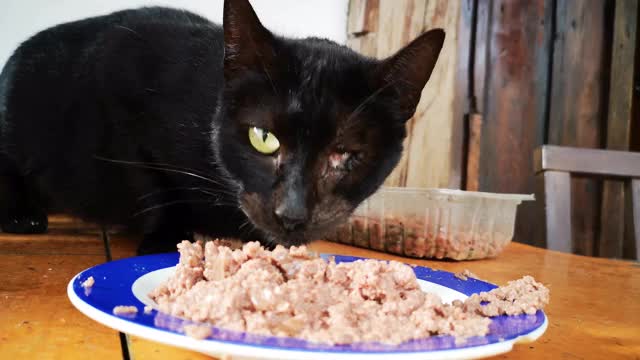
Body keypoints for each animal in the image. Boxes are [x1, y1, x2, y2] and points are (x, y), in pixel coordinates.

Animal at [0, 0, 444, 255]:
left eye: (347, 155)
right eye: (263, 139)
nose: (292, 214)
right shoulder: (117, 87)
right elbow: (156, 186)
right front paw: (164, 240)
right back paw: (23, 215)